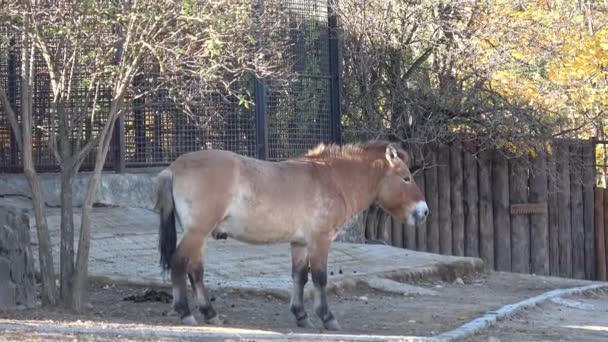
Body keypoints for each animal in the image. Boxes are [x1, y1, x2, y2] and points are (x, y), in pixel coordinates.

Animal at [156, 139, 428, 332]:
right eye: (406, 177)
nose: (423, 212)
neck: (330, 179)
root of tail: (173, 168)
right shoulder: (320, 241)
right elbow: (319, 278)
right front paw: (327, 317)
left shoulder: (300, 243)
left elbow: (300, 277)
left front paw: (301, 316)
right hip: (197, 232)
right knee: (179, 263)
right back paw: (185, 312)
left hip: (200, 235)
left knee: (195, 271)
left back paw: (210, 314)